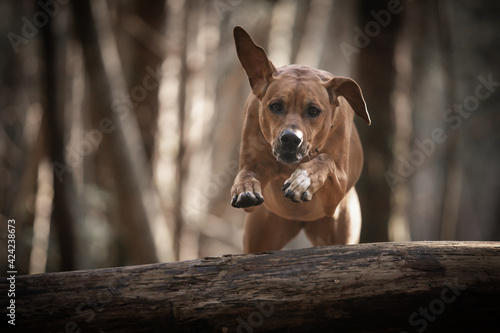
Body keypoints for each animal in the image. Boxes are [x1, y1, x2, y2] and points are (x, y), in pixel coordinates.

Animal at [231, 27, 372, 252]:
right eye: (275, 106)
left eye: (313, 110)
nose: (290, 139)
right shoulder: (251, 162)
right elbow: (246, 173)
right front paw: (245, 187)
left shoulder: (336, 194)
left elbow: (326, 160)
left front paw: (304, 179)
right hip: (264, 231)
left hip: (340, 227)